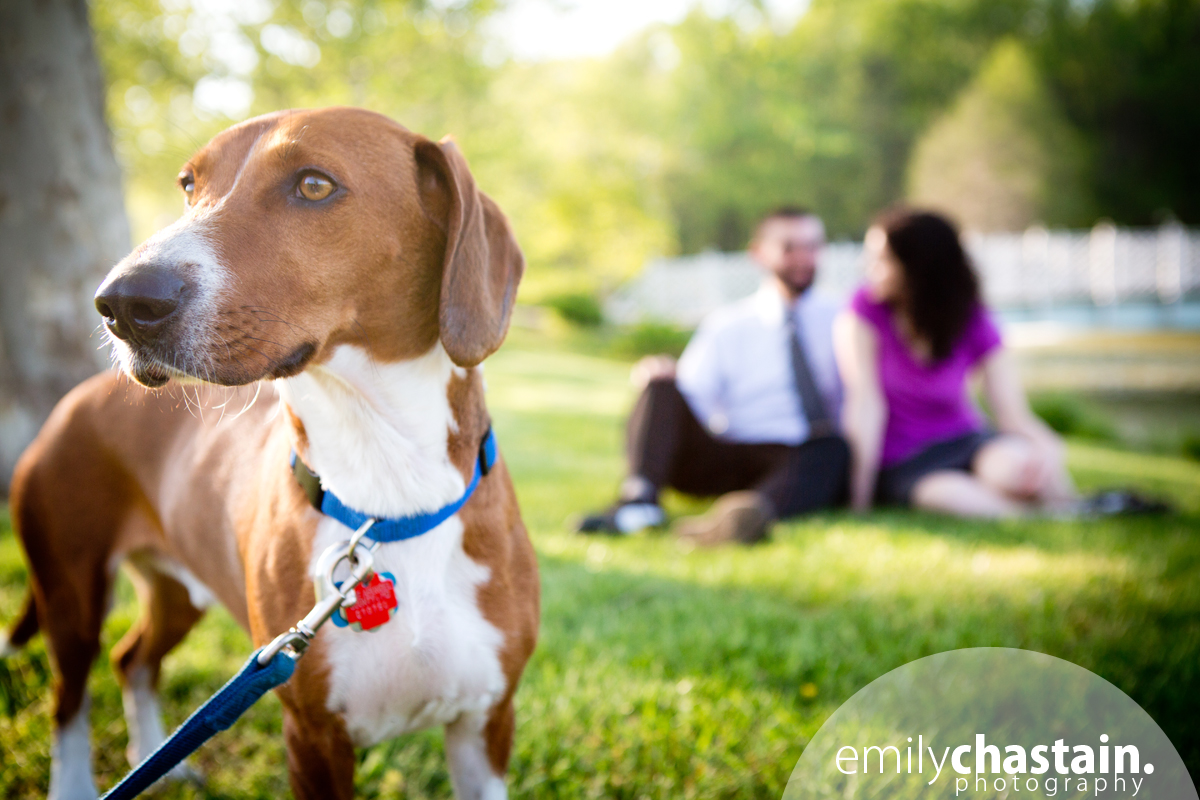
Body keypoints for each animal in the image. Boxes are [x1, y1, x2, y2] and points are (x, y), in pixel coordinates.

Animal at [1, 107, 539, 800]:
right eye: (188, 185)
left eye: (313, 185)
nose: (119, 302)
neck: (388, 491)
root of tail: (79, 396)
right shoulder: (311, 737)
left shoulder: (486, 724)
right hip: (69, 593)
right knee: (70, 698)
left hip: (177, 593)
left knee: (133, 660)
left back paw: (157, 758)